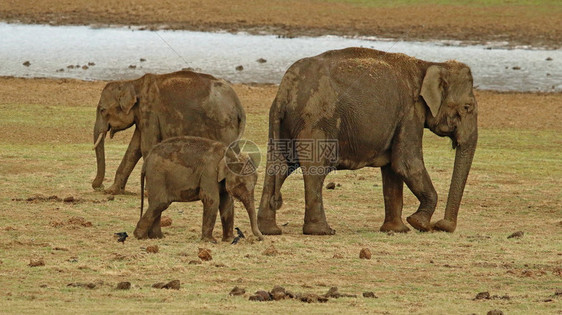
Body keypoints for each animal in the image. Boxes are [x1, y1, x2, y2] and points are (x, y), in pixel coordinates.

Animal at [92, 71, 245, 195]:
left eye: (102, 110)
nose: (98, 186)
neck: (133, 83)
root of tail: (238, 104)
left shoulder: (150, 111)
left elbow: (146, 147)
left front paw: (148, 192)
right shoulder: (142, 116)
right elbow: (134, 149)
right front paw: (111, 191)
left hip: (223, 123)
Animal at [133, 135, 262, 242]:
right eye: (241, 184)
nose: (260, 238)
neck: (228, 154)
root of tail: (146, 160)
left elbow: (227, 203)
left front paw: (229, 240)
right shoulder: (209, 172)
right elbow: (212, 200)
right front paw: (210, 241)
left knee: (156, 204)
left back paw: (156, 237)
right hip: (157, 176)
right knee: (160, 203)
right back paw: (140, 237)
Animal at [256, 47, 474, 235]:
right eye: (467, 107)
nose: (442, 225)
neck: (429, 64)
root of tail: (284, 92)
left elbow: (393, 168)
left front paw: (397, 229)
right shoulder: (410, 112)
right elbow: (406, 163)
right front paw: (418, 223)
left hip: (282, 123)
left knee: (279, 167)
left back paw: (270, 230)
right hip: (316, 121)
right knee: (315, 170)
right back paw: (322, 231)